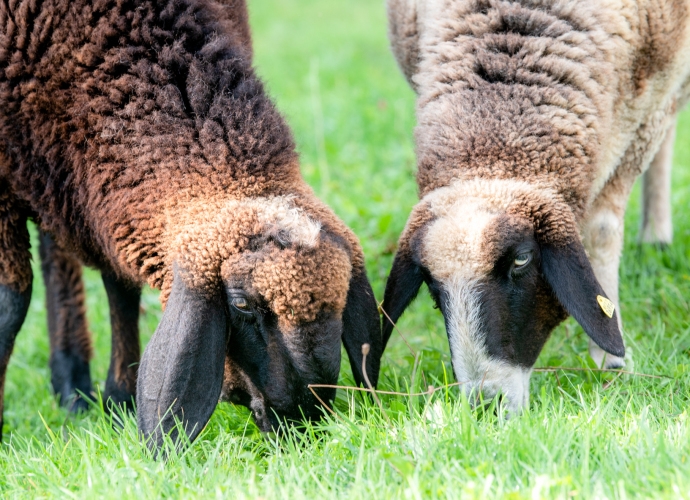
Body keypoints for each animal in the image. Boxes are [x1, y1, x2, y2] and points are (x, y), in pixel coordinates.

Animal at [0, 0, 382, 447]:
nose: (302, 426)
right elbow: (11, 303)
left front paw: (119, 401)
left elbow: (120, 287)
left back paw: (73, 386)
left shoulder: (97, 186)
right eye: (241, 305)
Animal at [382, 0, 690, 412]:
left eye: (522, 260)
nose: (486, 405)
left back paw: (656, 235)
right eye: (431, 285)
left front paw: (609, 359)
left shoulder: (650, 100)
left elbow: (602, 229)